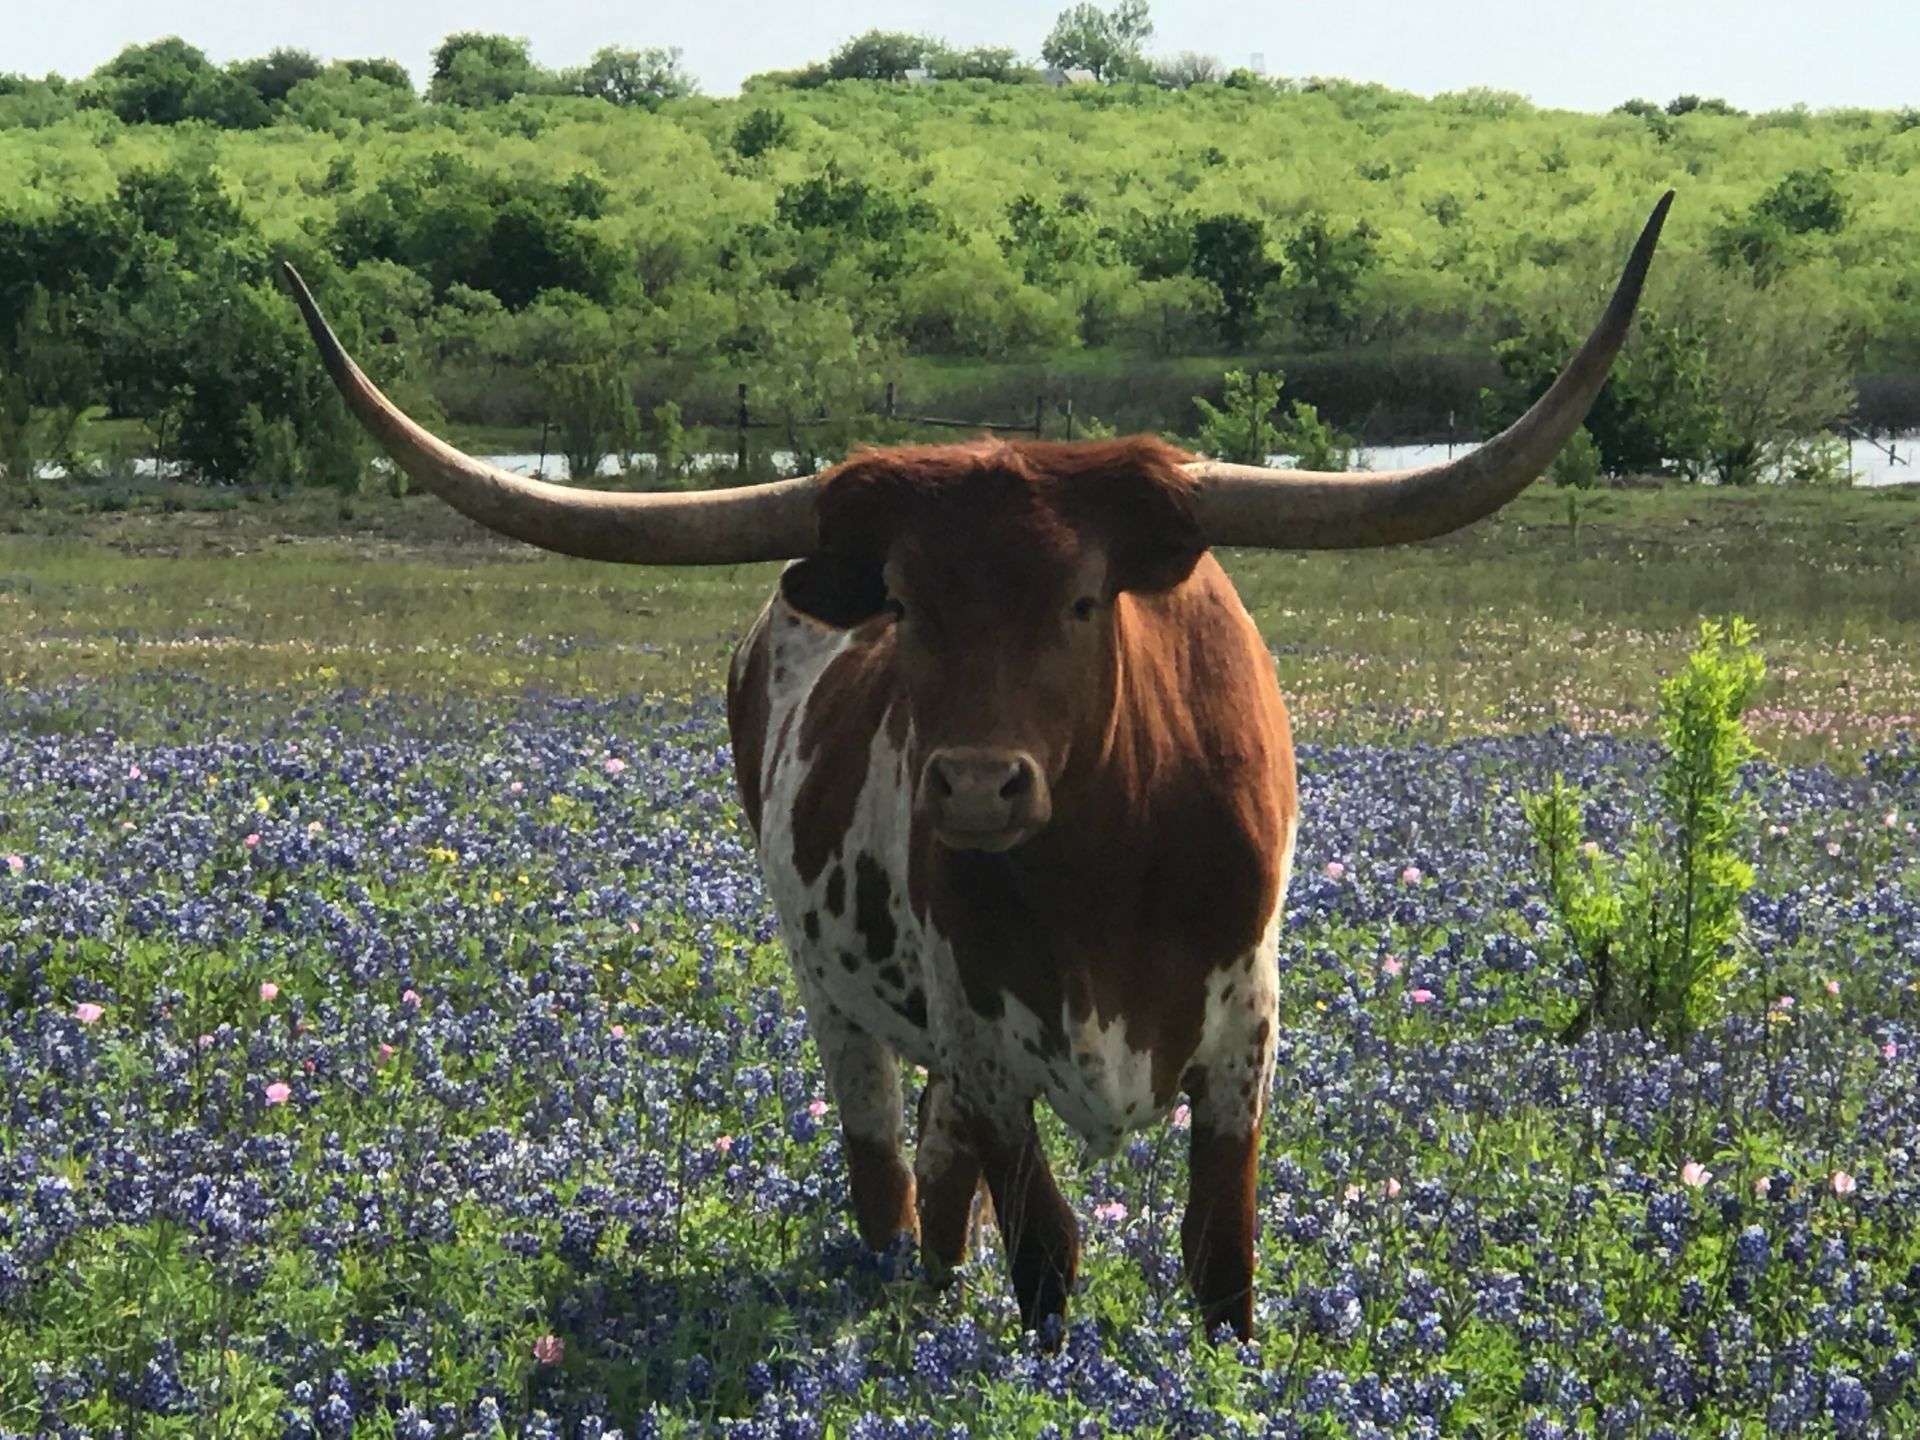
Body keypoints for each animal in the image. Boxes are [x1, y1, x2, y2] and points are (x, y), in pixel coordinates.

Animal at [282, 193, 1669, 1340]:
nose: (973, 786)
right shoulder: (987, 1043)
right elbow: (1045, 1254)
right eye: (905, 600)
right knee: (890, 1189)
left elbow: (1220, 1265)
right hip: (843, 1008)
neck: (1105, 873)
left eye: (1083, 598)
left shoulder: (1246, 1036)